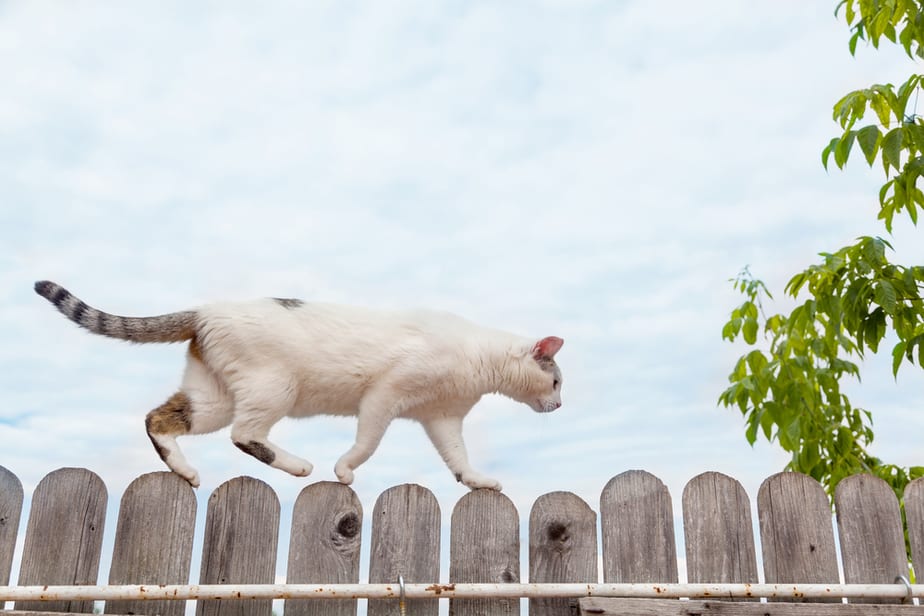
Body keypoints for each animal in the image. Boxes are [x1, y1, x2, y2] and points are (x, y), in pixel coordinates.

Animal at [34, 280, 564, 490]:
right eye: (556, 380)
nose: (560, 405)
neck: (479, 357)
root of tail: (205, 311)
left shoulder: (442, 418)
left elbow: (457, 458)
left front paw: (475, 481)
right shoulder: (385, 396)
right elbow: (366, 444)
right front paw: (344, 470)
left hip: (214, 398)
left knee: (158, 419)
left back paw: (185, 471)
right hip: (274, 389)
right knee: (245, 435)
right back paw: (298, 465)